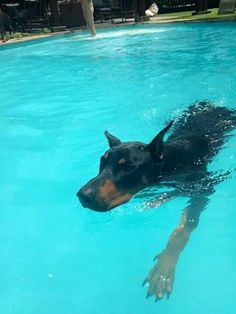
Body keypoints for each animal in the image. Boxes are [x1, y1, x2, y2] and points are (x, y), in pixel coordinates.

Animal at [77, 102, 236, 300]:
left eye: (128, 167)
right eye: (102, 162)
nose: (83, 195)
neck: (170, 162)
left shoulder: (202, 187)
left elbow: (184, 228)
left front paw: (163, 271)